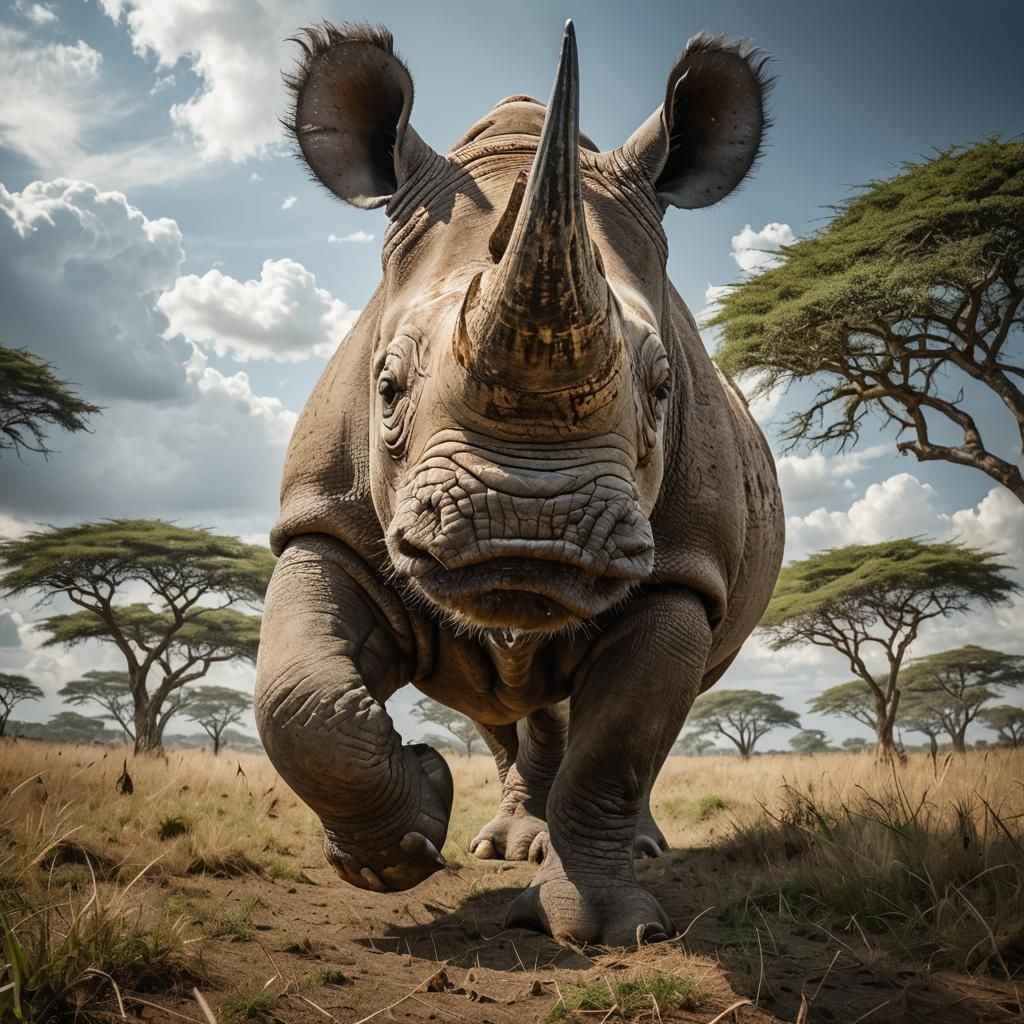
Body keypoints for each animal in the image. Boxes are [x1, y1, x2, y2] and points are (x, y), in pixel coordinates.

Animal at [256, 20, 784, 946]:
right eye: (385, 387)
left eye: (662, 391)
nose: (527, 527)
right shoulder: (324, 520)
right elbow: (297, 697)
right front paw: (403, 842)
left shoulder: (682, 569)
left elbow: (618, 744)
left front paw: (604, 932)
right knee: (502, 708)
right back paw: (496, 843)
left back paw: (629, 848)